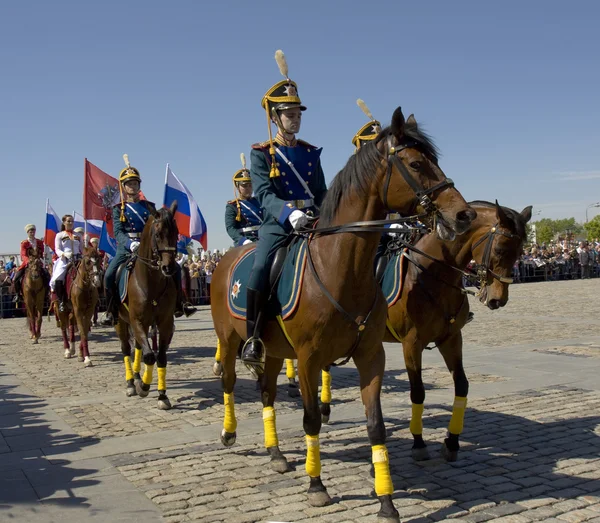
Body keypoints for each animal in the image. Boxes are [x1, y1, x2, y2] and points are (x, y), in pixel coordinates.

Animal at [115, 203, 178, 412]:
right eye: (157, 234)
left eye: (176, 232)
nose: (169, 268)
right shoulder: (137, 321)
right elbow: (149, 356)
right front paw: (144, 386)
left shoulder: (165, 323)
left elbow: (160, 357)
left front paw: (162, 395)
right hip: (120, 322)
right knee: (126, 349)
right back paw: (130, 383)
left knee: (137, 348)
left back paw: (136, 376)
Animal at [209, 107, 476, 520]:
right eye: (416, 163)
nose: (463, 214)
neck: (341, 267)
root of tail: (227, 259)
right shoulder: (307, 359)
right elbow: (311, 420)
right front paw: (317, 485)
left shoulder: (372, 355)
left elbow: (376, 425)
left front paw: (386, 501)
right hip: (230, 338)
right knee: (229, 382)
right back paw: (230, 431)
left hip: (275, 351)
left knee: (268, 392)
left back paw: (275, 452)